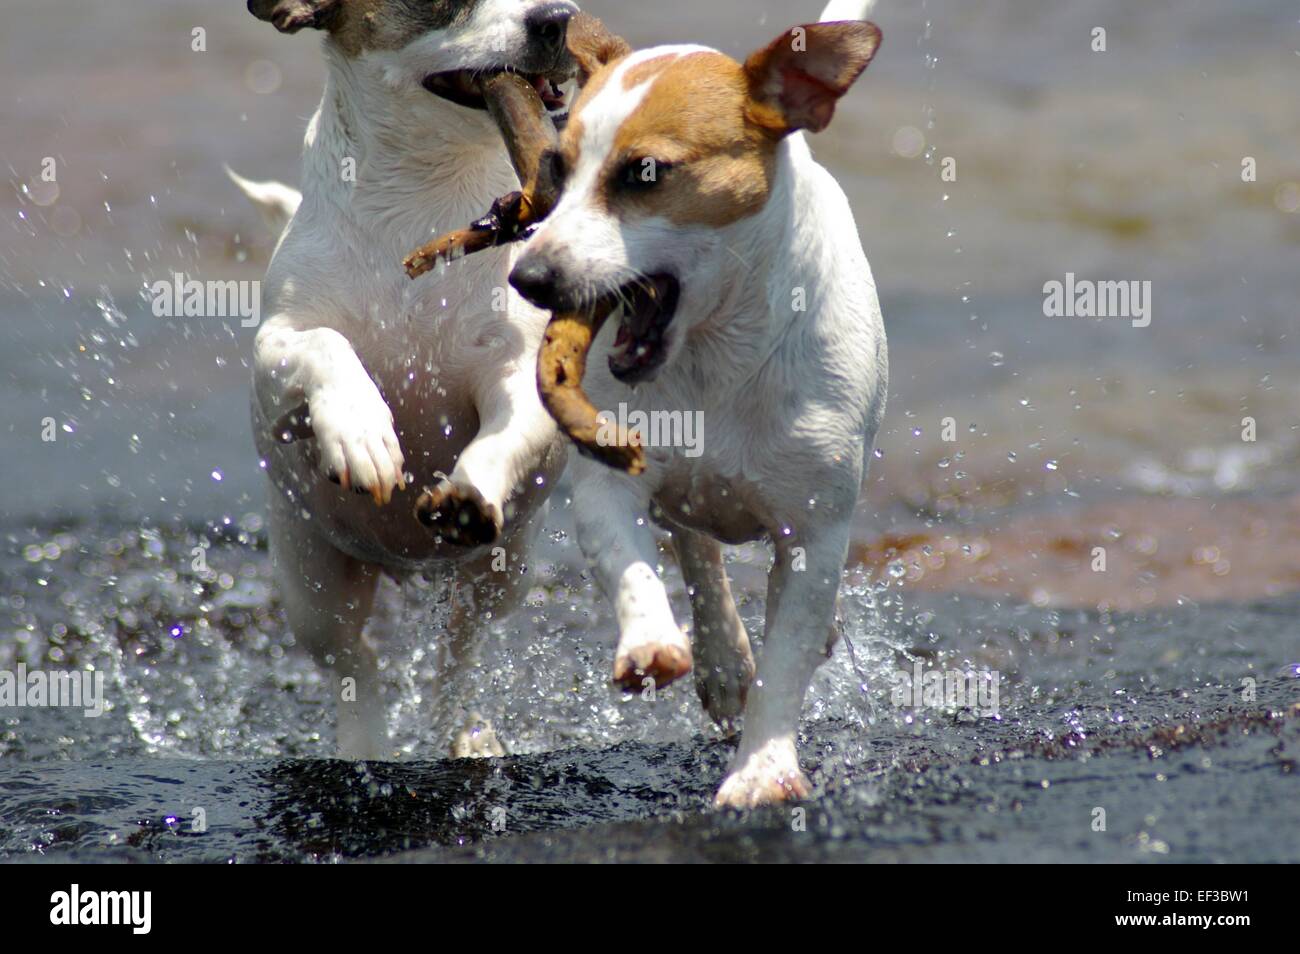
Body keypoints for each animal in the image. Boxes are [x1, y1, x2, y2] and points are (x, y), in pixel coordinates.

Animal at [233, 0, 579, 764]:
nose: (557, 19)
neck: (421, 196)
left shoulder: (516, 375)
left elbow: (507, 429)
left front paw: (471, 484)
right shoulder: (277, 356)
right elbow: (328, 346)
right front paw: (359, 432)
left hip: (499, 575)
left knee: (459, 648)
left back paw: (466, 732)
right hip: (313, 580)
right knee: (352, 662)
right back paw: (365, 742)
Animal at [512, 0, 889, 811]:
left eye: (645, 173)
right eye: (558, 168)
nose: (528, 277)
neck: (716, 360)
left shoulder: (813, 532)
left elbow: (787, 658)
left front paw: (763, 770)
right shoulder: (610, 473)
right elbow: (628, 558)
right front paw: (652, 642)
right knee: (695, 549)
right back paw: (717, 657)